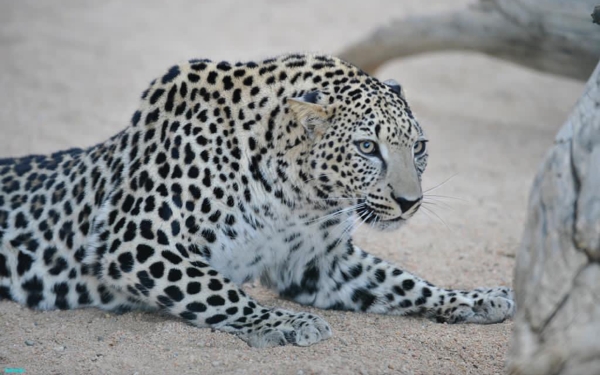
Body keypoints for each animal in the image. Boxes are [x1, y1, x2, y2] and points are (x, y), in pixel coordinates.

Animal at [0, 53, 516, 350]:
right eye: (368, 147)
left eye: (420, 147)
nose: (410, 202)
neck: (302, 197)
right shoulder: (135, 239)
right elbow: (218, 289)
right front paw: (285, 321)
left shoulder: (317, 264)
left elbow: (405, 282)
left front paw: (474, 298)